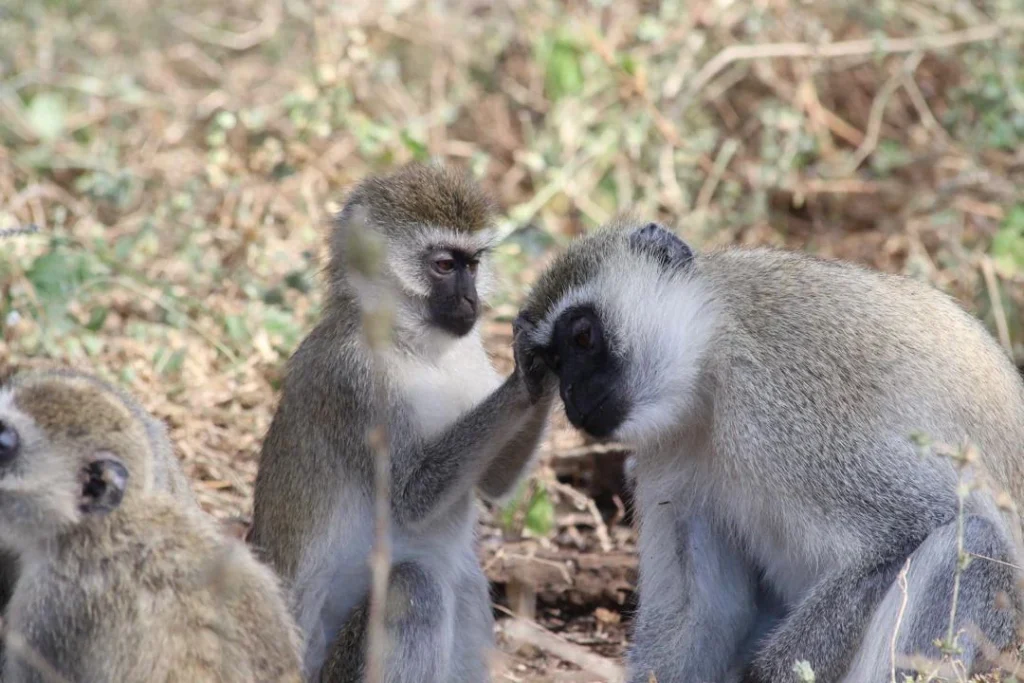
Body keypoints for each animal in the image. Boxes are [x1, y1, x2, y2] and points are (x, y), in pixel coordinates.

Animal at [247, 162, 556, 682]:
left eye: (473, 264)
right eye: (445, 266)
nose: (471, 301)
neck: (411, 345)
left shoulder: (470, 350)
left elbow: (493, 482)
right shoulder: (354, 380)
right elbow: (412, 498)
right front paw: (529, 368)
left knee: (463, 587)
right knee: (416, 586)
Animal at [513, 218, 1024, 683]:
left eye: (582, 337)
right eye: (552, 363)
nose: (572, 396)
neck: (708, 372)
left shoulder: (779, 399)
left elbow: (912, 527)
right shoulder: (665, 457)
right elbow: (700, 617)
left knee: (974, 539)